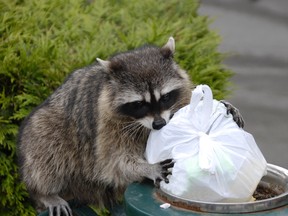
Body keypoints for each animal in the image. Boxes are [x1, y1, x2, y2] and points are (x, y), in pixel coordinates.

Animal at [17, 37, 243, 214]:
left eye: (165, 98)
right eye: (139, 104)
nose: (159, 124)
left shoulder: (180, 96)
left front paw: (224, 106)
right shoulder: (107, 125)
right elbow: (114, 162)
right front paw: (147, 167)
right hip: (47, 127)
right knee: (46, 147)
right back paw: (44, 192)